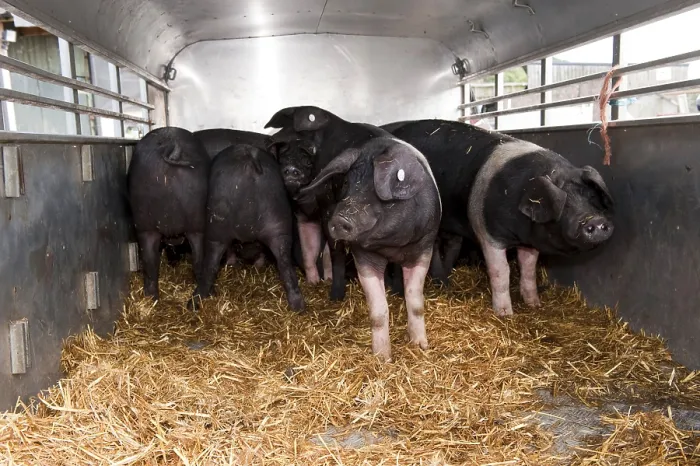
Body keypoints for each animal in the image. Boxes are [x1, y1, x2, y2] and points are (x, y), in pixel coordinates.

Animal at [127, 126, 210, 300]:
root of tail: (170, 148)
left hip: (145, 224)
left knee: (150, 264)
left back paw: (151, 299)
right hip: (197, 225)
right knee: (198, 261)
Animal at [191, 143, 305, 312]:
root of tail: (250, 165)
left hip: (217, 226)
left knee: (211, 265)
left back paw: (195, 302)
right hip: (279, 223)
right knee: (285, 264)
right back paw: (298, 307)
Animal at [295, 136, 442, 362]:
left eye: (375, 189)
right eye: (346, 183)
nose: (339, 220)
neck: (392, 245)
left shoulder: (424, 246)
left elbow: (416, 301)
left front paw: (421, 346)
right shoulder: (363, 255)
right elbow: (378, 310)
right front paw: (383, 359)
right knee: (335, 255)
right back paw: (334, 292)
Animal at [383, 119, 615, 316]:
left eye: (592, 197)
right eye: (563, 204)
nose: (595, 221)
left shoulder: (529, 242)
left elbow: (528, 269)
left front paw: (534, 304)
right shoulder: (488, 234)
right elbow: (501, 271)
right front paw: (505, 314)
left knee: (450, 247)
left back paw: (445, 283)